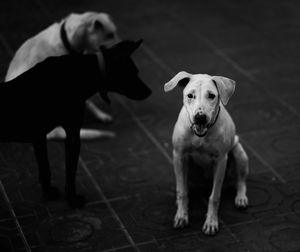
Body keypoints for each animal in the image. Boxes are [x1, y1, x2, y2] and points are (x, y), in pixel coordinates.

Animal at [0, 39, 150, 207]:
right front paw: (72, 199)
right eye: (134, 72)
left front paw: (48, 193)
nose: (149, 91)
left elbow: (45, 169)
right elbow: (70, 172)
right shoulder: (72, 134)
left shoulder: (39, 137)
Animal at [164, 72, 248, 235]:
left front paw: (211, 222)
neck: (200, 136)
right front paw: (181, 216)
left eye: (211, 95)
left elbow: (214, 196)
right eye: (190, 95)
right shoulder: (179, 155)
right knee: (184, 185)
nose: (200, 117)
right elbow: (181, 191)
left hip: (239, 152)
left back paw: (241, 198)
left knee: (240, 181)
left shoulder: (221, 161)